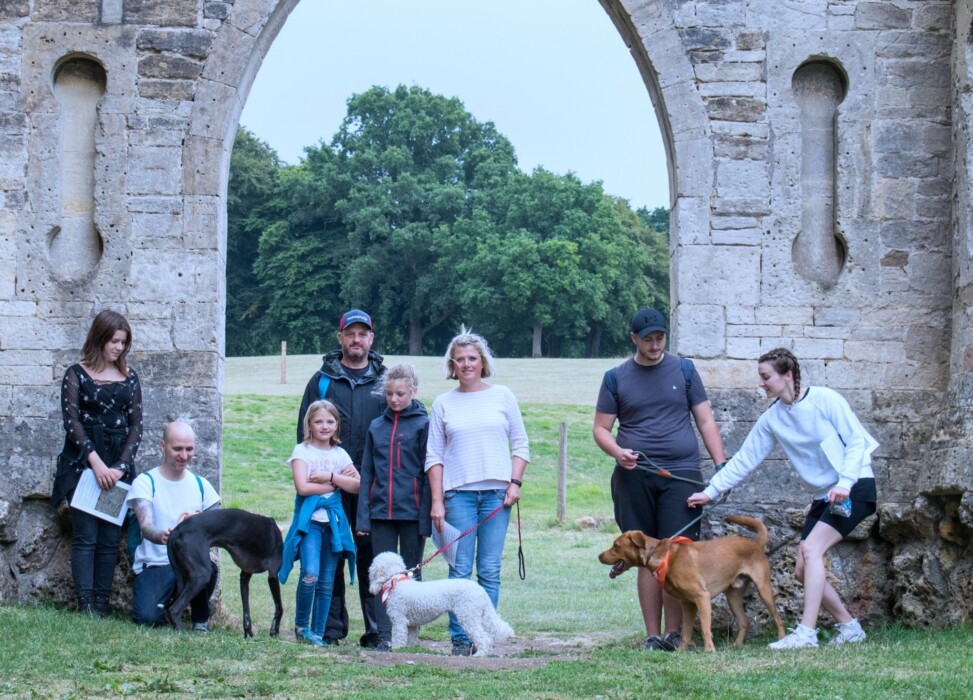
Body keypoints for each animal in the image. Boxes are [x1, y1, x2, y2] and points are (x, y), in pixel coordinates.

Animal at [596, 516, 784, 652]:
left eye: (616, 545)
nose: (598, 556)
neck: (666, 558)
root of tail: (754, 543)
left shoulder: (702, 598)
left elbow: (705, 628)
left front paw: (709, 651)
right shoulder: (687, 604)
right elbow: (686, 631)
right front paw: (680, 651)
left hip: (763, 590)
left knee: (778, 618)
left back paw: (782, 640)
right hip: (733, 597)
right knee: (745, 621)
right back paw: (737, 646)